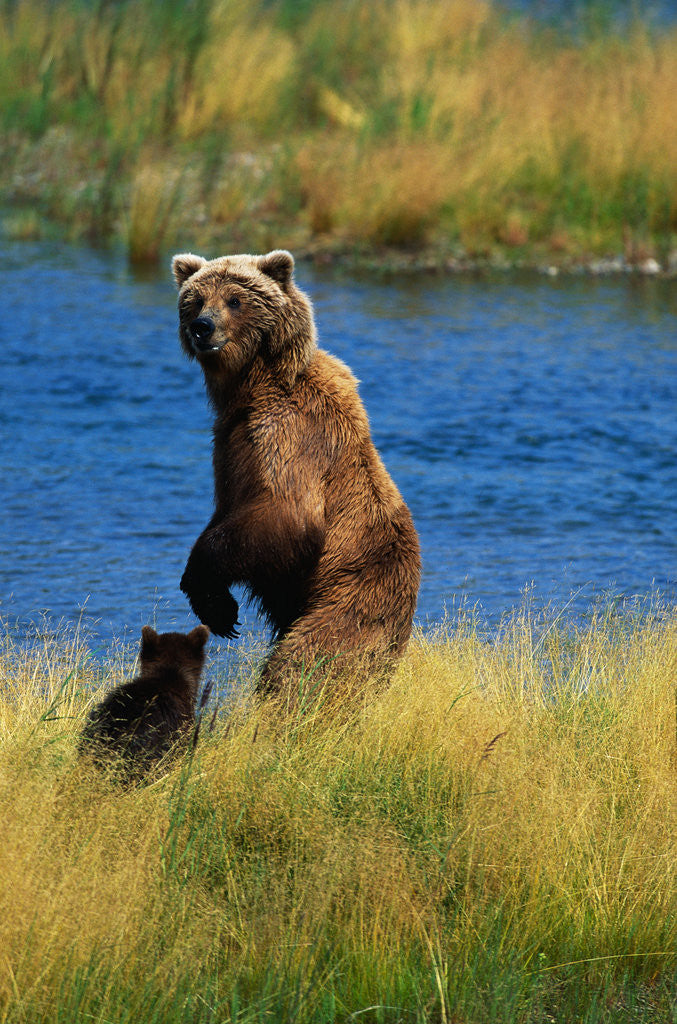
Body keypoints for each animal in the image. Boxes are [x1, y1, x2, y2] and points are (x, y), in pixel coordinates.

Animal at [171, 249, 421, 696]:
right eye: (195, 300)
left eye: (235, 299)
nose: (203, 327)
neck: (253, 385)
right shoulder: (231, 445)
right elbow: (228, 509)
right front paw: (220, 609)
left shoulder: (288, 435)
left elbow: (286, 515)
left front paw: (202, 584)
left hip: (352, 595)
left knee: (307, 661)